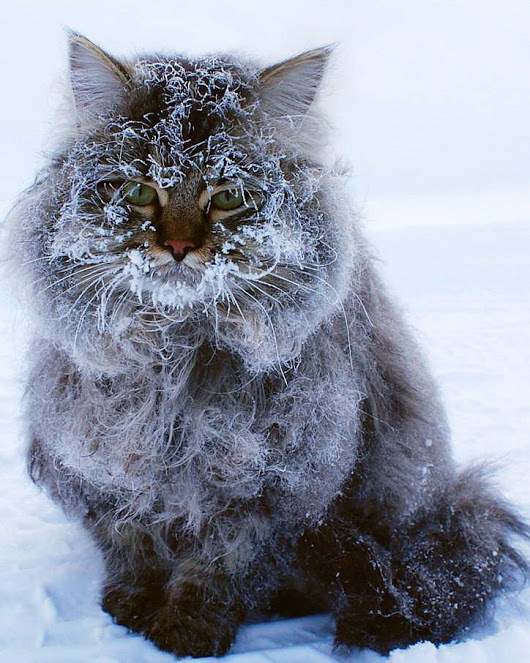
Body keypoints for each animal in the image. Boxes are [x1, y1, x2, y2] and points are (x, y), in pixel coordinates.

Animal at [11, 32, 524, 660]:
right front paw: (130, 612)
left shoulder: (268, 486)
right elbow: (133, 548)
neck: (177, 354)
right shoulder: (107, 466)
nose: (178, 246)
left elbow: (221, 568)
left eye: (228, 195)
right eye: (137, 191)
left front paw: (188, 631)